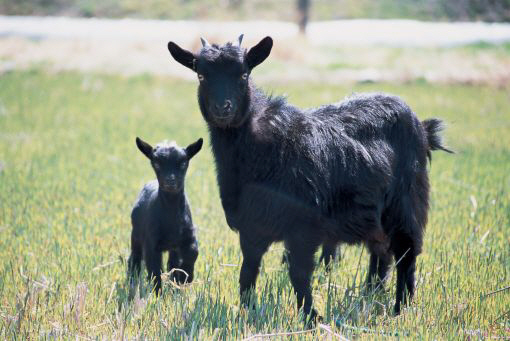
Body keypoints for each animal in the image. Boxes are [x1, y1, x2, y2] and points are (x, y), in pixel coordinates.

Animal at [167, 35, 450, 318]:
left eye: (244, 74)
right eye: (201, 75)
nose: (222, 108)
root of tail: (423, 127)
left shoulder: (303, 226)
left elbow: (299, 274)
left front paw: (311, 317)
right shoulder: (250, 226)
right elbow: (248, 271)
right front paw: (247, 312)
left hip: (407, 202)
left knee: (406, 253)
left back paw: (401, 308)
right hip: (376, 216)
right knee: (380, 253)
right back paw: (371, 296)